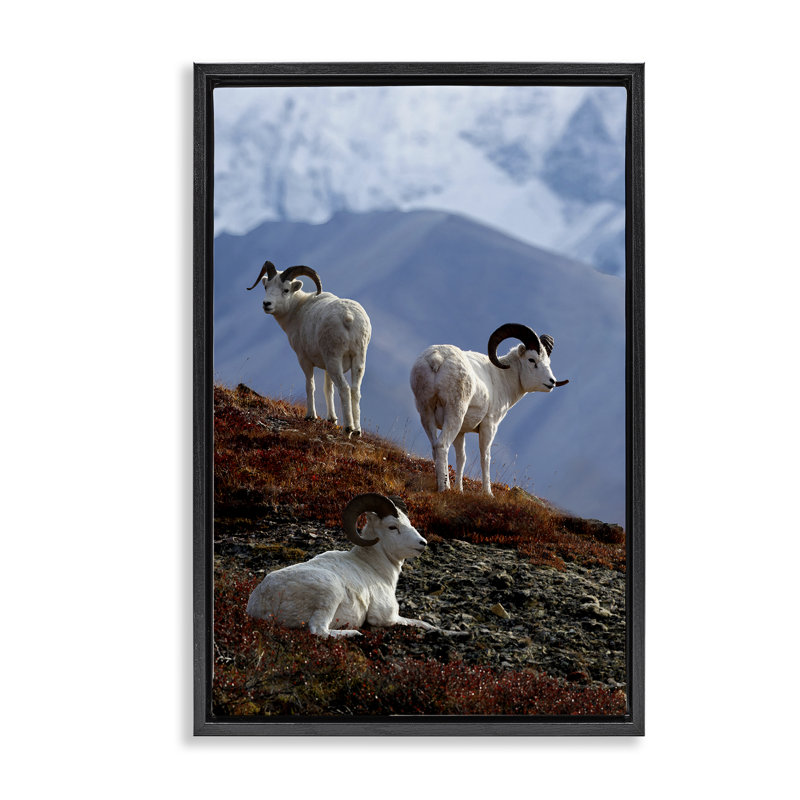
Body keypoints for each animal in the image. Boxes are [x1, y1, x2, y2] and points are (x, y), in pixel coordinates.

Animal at [246, 493, 436, 637]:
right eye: (392, 527)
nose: (423, 543)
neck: (374, 568)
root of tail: (260, 606)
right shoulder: (387, 616)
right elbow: (417, 622)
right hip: (331, 593)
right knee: (319, 631)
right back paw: (355, 634)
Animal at [247, 260, 371, 437]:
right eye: (266, 286)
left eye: (286, 289)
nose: (267, 304)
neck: (297, 311)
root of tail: (349, 317)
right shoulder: (326, 367)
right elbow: (328, 389)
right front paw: (332, 419)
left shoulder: (304, 359)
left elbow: (310, 386)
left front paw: (310, 416)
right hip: (358, 360)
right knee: (355, 390)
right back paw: (357, 431)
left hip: (334, 360)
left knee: (345, 389)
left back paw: (347, 430)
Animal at [410, 323, 569, 496]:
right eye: (532, 359)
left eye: (548, 362)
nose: (551, 382)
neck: (502, 378)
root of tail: (437, 358)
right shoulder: (489, 425)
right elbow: (485, 457)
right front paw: (488, 493)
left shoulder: (461, 432)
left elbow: (461, 458)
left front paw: (460, 490)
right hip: (454, 414)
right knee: (442, 445)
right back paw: (445, 488)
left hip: (426, 413)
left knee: (434, 446)